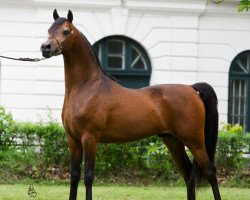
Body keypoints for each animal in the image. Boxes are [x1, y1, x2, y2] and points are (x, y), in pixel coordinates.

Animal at [40, 9, 222, 200]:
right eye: (49, 29)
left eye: (66, 31)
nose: (45, 47)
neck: (87, 86)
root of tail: (191, 88)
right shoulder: (73, 140)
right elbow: (74, 177)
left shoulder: (89, 138)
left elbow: (88, 177)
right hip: (172, 140)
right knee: (188, 174)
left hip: (195, 141)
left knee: (210, 171)